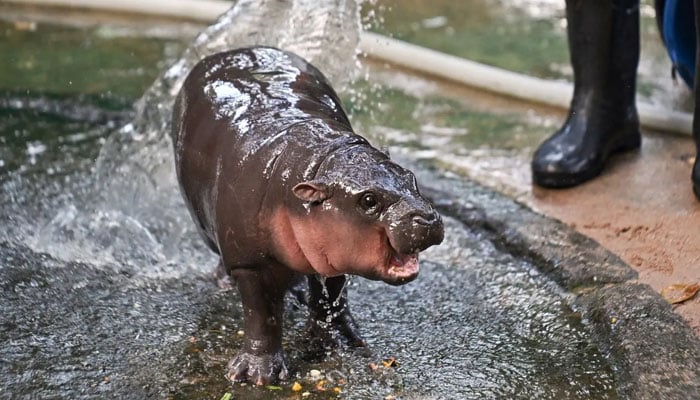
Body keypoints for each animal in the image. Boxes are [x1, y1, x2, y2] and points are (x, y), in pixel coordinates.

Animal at [170, 46, 442, 384]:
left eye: (411, 177)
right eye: (369, 200)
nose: (427, 218)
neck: (318, 162)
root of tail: (232, 51)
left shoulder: (333, 250)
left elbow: (332, 296)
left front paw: (340, 341)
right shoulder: (251, 263)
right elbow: (262, 314)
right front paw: (257, 375)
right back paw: (226, 283)